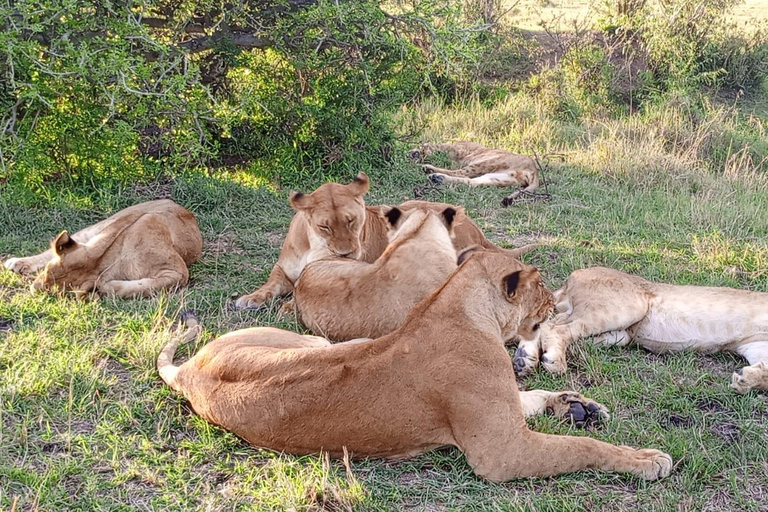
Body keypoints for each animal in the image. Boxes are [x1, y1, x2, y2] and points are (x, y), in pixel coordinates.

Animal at [3, 199, 201, 298]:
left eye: (49, 291)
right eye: (44, 271)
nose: (33, 289)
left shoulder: (177, 271)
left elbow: (151, 285)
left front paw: (108, 286)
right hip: (100, 225)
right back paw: (17, 262)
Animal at [159, 252, 668, 484]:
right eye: (541, 285)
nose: (555, 302)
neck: (458, 305)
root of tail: (190, 371)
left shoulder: (502, 421)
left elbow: (533, 402)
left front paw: (577, 407)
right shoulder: (501, 454)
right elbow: (582, 448)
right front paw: (646, 460)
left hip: (323, 341)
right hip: (319, 339)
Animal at [234, 171, 536, 308]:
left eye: (352, 221)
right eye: (324, 227)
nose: (345, 254)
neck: (315, 244)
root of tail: (476, 227)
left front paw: (286, 308)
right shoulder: (283, 269)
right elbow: (270, 284)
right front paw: (250, 298)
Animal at [536, 266, 768, 394]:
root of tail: (573, 276)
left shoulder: (757, 345)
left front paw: (745, 379)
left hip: (620, 332)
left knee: (555, 325)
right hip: (628, 306)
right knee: (555, 327)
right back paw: (554, 361)